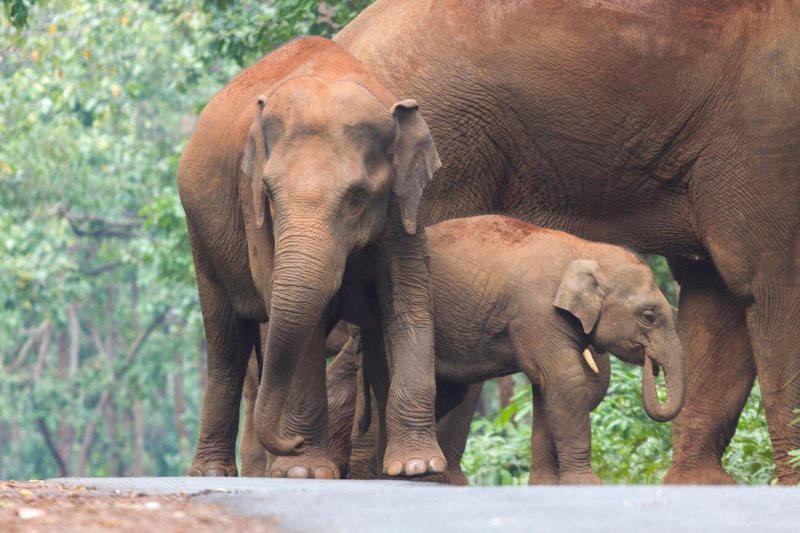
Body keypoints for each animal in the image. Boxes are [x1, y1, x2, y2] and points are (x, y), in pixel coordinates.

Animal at [177, 36, 446, 478]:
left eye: (357, 197)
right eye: (269, 193)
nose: (292, 443)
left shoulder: (403, 204)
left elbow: (409, 298)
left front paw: (418, 468)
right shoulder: (253, 207)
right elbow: (301, 320)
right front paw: (304, 471)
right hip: (200, 235)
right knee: (226, 342)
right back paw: (215, 473)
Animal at [356, 214, 688, 484]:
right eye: (648, 316)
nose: (650, 364)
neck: (584, 250)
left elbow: (545, 388)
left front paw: (546, 486)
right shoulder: (536, 314)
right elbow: (566, 380)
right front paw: (587, 484)